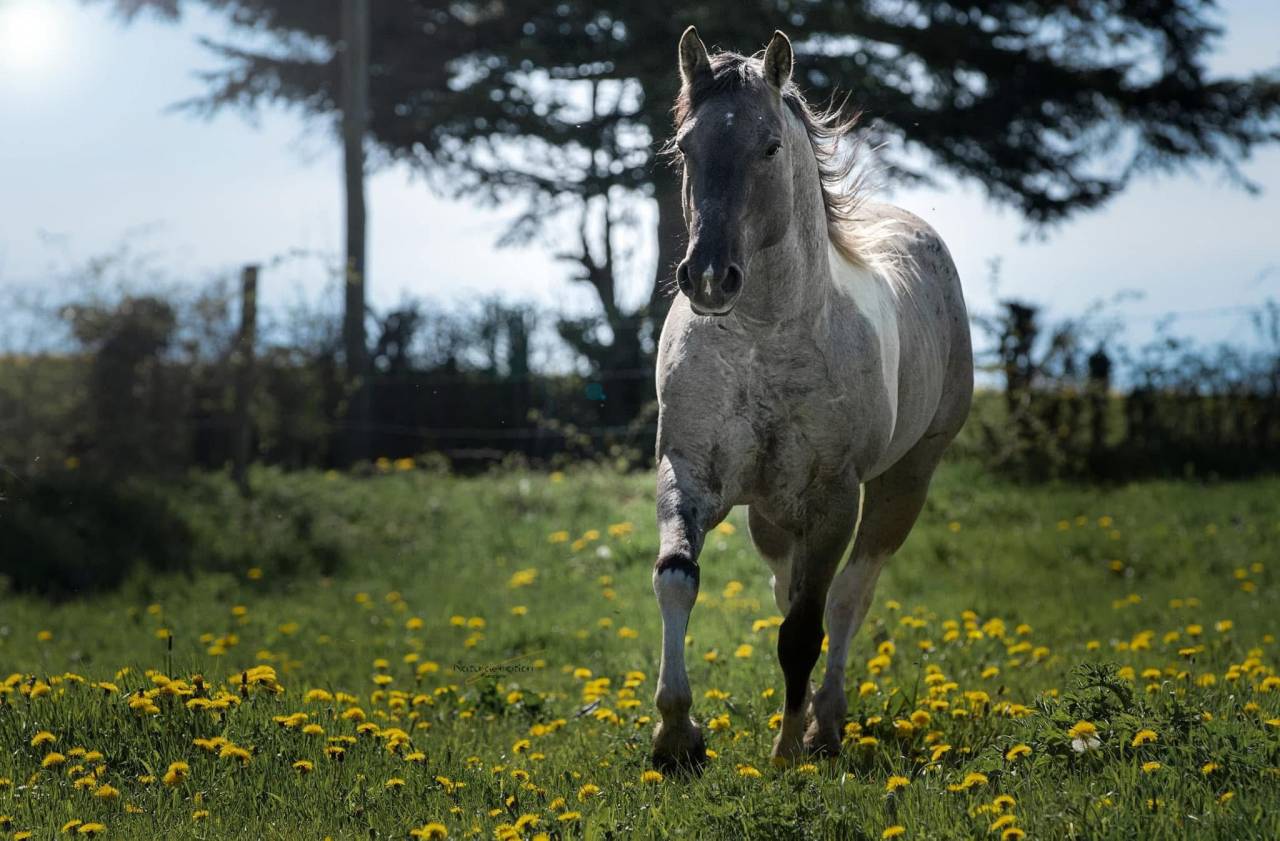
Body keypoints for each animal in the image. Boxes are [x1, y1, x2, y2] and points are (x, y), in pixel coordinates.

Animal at [650, 27, 974, 772]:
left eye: (769, 146)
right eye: (684, 146)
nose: (707, 279)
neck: (762, 341)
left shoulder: (834, 496)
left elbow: (805, 628)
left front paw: (786, 750)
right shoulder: (689, 471)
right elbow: (677, 577)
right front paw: (677, 738)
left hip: (904, 481)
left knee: (849, 595)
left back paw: (825, 724)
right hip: (771, 512)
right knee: (789, 585)